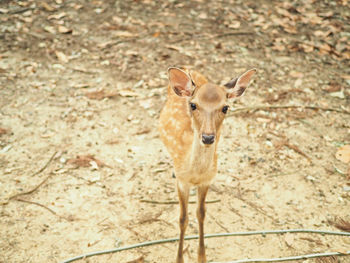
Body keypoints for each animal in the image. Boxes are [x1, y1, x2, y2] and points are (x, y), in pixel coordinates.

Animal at [158, 66, 254, 263]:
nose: (208, 137)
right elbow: (183, 218)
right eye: (193, 105)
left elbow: (201, 214)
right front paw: (179, 259)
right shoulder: (181, 181)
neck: (195, 174)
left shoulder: (207, 180)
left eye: (225, 107)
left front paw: (201, 256)